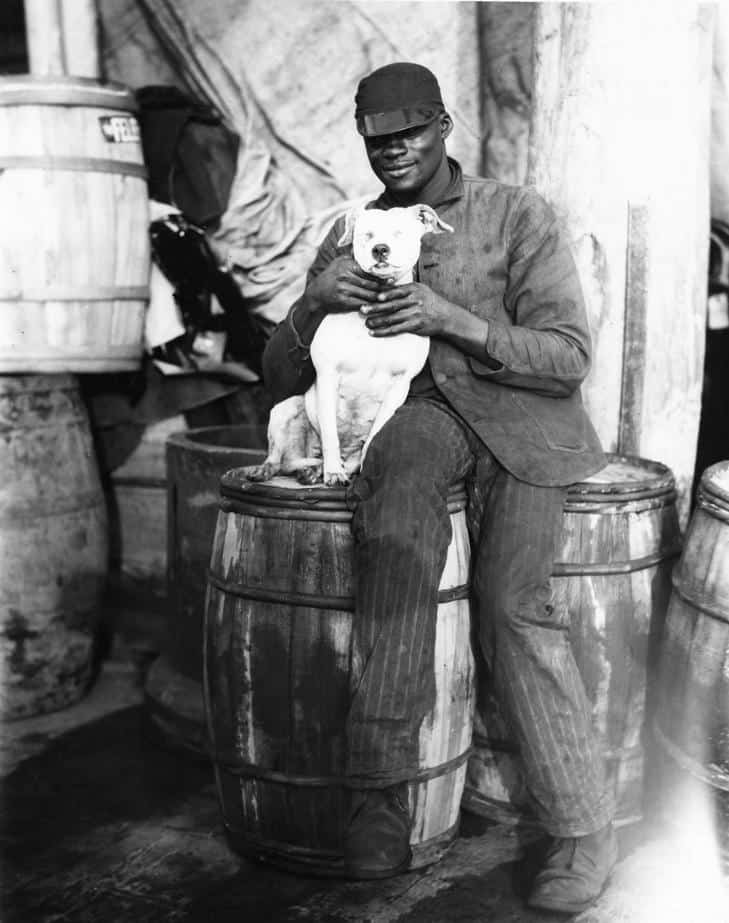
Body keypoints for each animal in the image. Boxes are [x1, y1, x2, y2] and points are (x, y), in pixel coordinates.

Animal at [243, 205, 450, 488]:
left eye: (399, 233)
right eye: (366, 235)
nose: (380, 249)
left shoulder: (399, 386)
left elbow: (373, 437)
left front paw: (362, 468)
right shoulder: (328, 376)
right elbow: (330, 433)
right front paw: (333, 472)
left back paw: (317, 471)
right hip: (285, 408)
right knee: (279, 458)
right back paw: (281, 469)